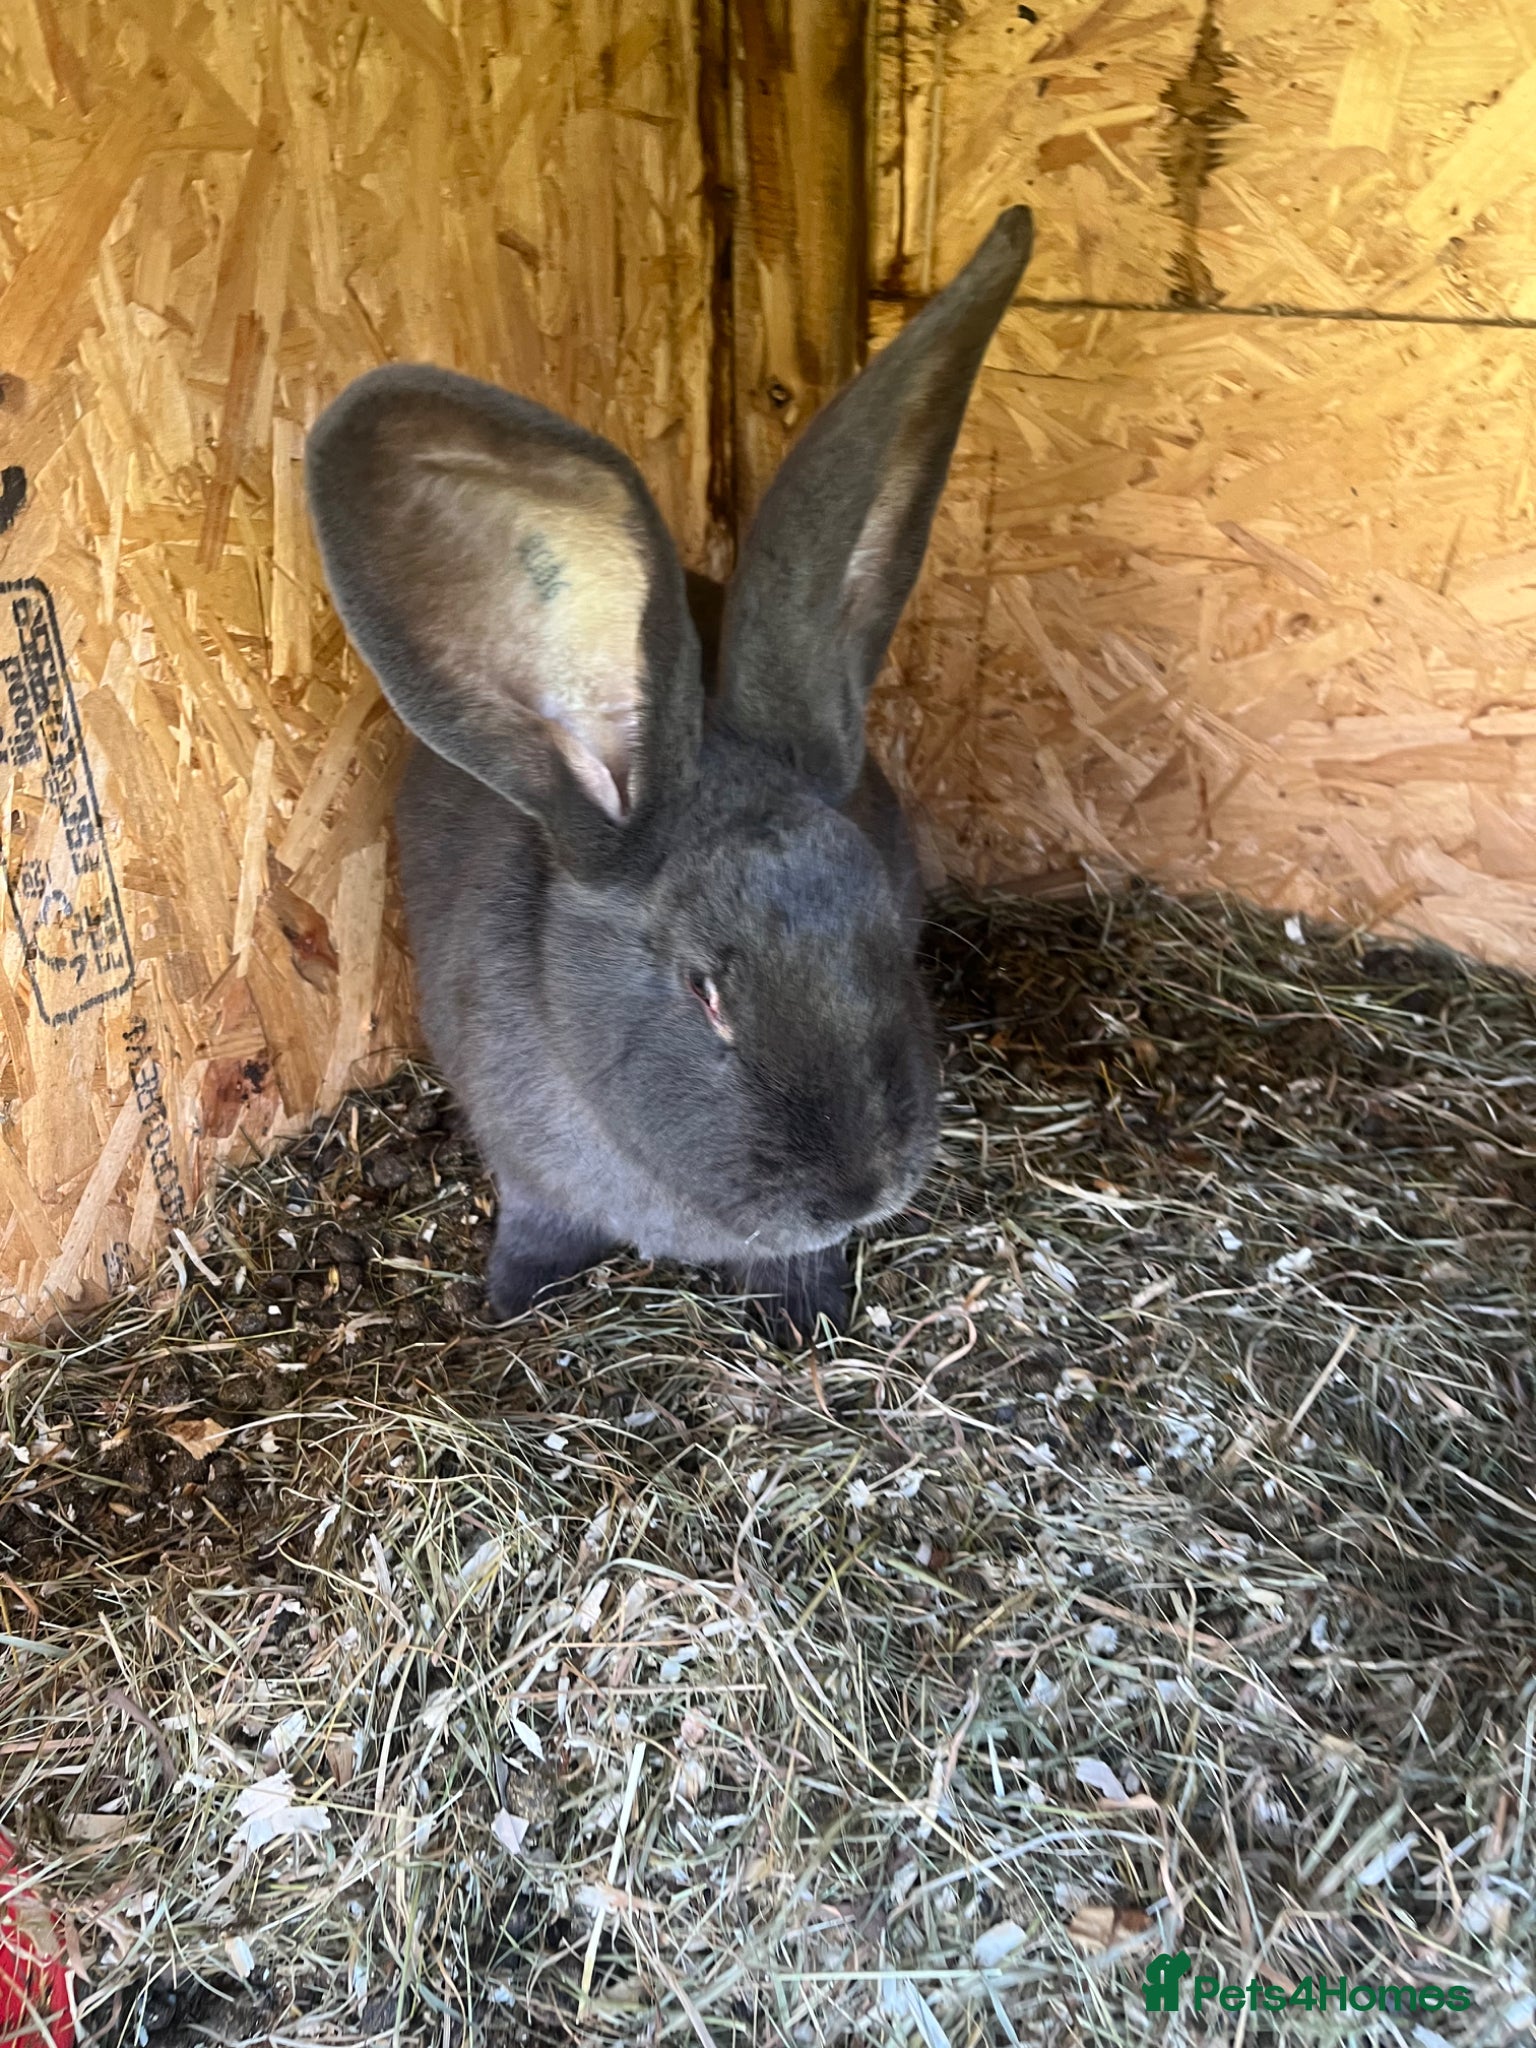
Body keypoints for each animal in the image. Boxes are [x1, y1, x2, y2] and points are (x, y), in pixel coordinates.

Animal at [306, 206, 1033, 1340]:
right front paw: (509, 1304)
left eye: (891, 930)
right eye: (706, 993)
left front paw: (809, 1314)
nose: (860, 1190)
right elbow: (537, 1226)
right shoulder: (530, 1171)